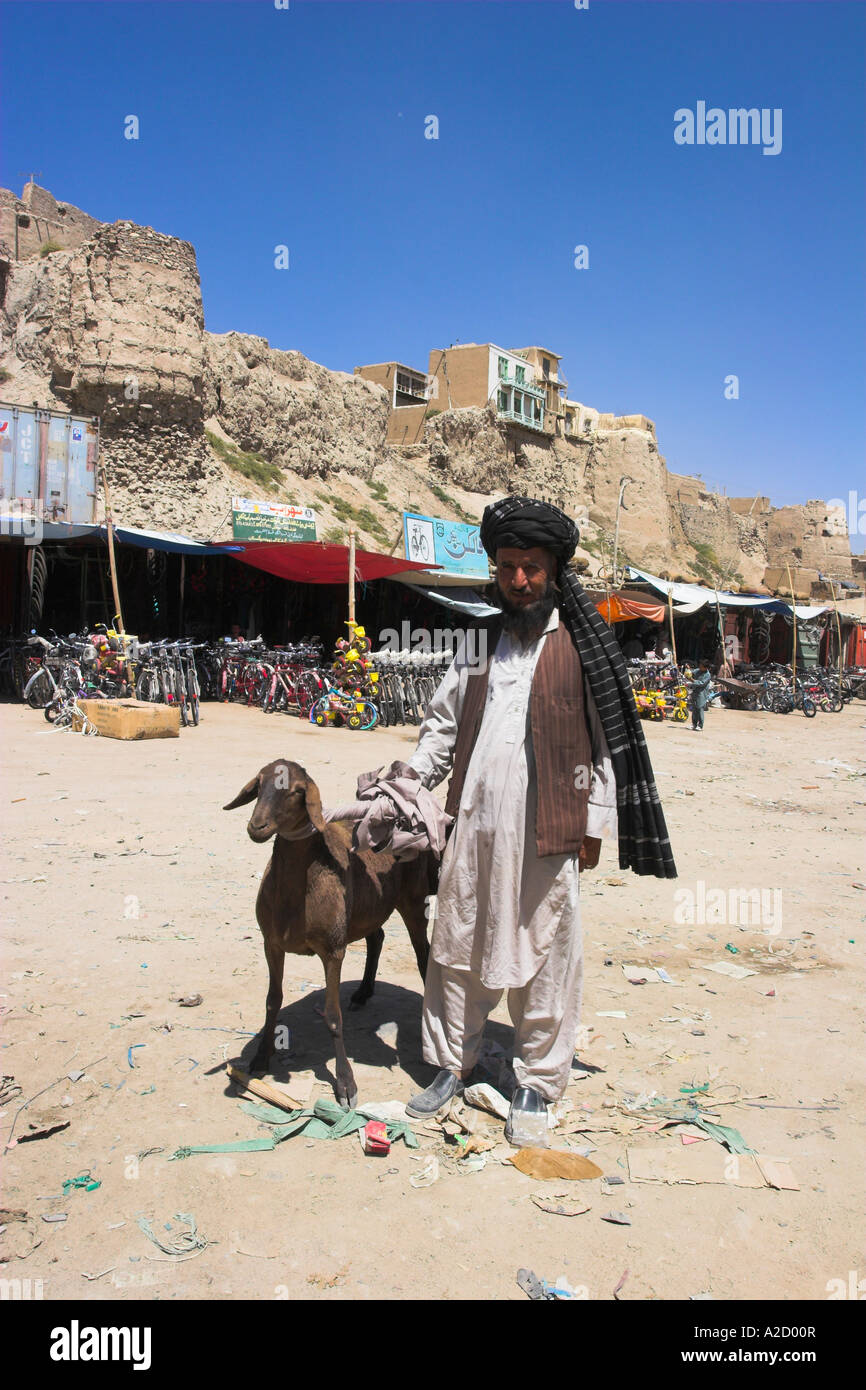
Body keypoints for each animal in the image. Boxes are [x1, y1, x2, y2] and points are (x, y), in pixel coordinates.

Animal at [223, 761, 433, 1106]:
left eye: (297, 790)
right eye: (259, 784)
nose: (257, 826)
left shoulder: (333, 949)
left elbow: (333, 1017)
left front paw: (345, 1083)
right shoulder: (271, 943)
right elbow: (272, 1001)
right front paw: (261, 1058)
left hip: (413, 901)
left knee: (423, 956)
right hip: (367, 907)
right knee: (376, 937)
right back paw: (362, 992)